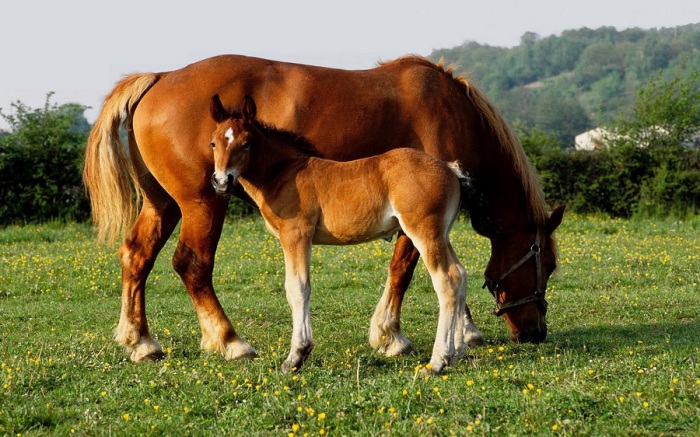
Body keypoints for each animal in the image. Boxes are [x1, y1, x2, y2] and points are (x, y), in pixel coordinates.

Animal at [83, 54, 564, 362]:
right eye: (548, 263)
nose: (535, 333)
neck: (451, 108)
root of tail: (160, 77)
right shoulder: (412, 223)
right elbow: (404, 270)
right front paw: (392, 335)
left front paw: (460, 333)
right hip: (203, 203)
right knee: (192, 265)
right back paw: (230, 340)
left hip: (163, 204)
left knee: (137, 256)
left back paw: (140, 341)